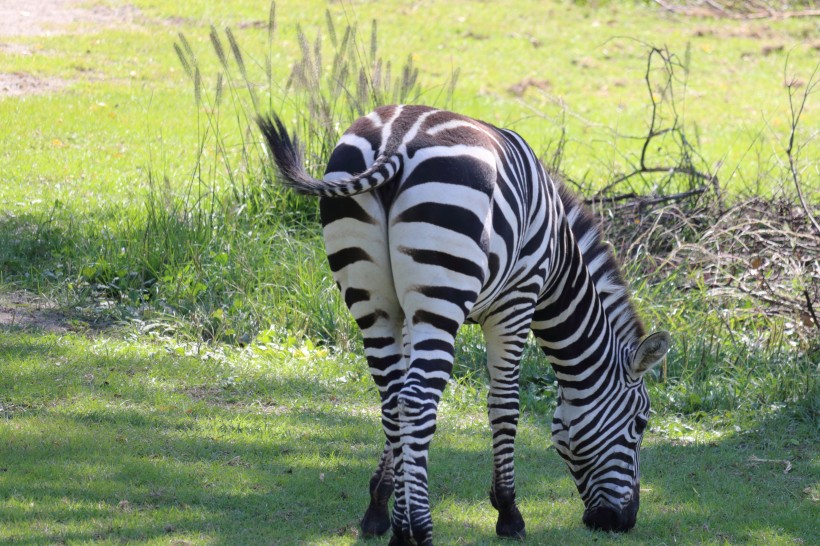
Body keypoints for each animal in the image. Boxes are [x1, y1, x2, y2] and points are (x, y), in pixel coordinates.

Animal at [260, 104, 668, 540]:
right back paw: (419, 532)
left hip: (375, 299)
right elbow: (505, 405)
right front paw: (508, 513)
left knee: (394, 400)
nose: (621, 522)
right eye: (641, 423)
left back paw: (401, 526)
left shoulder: (410, 313)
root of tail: (396, 140)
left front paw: (379, 506)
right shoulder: (516, 302)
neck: (559, 261)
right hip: (443, 290)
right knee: (417, 401)